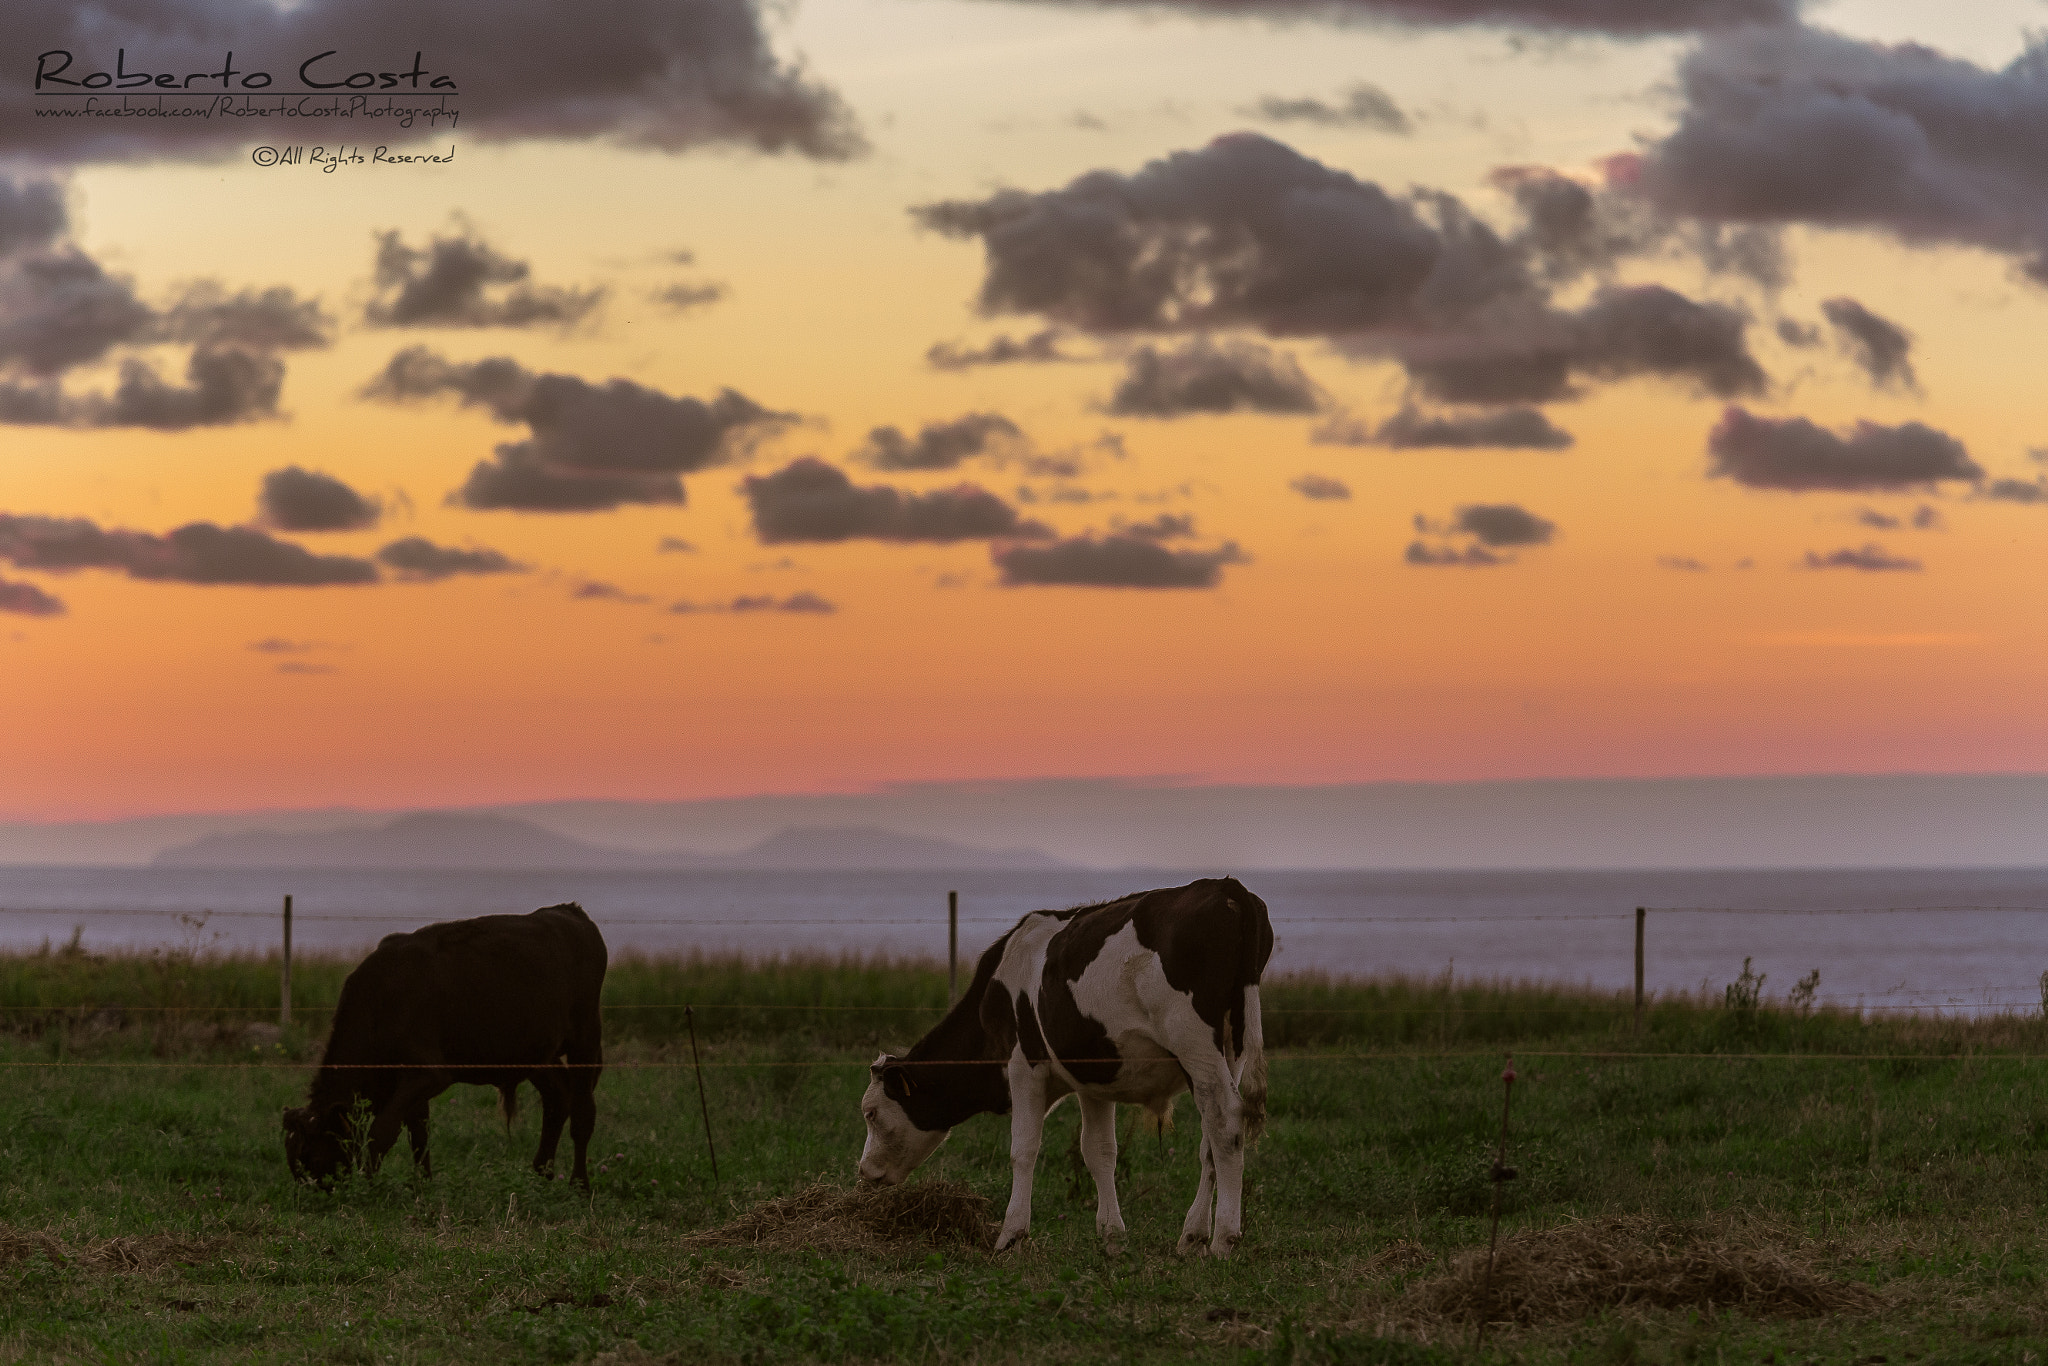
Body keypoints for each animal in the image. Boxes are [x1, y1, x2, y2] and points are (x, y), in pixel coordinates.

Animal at [286, 909, 606, 1187]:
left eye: (311, 1157)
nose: (318, 1192)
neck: (380, 1004)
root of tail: (569, 912)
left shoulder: (429, 1073)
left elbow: (383, 1131)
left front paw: (368, 1184)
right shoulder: (408, 1082)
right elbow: (419, 1134)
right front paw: (422, 1185)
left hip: (586, 1037)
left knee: (583, 1113)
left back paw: (579, 1184)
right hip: (538, 1054)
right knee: (557, 1098)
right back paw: (541, 1175)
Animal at [856, 880, 1269, 1253]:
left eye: (871, 1113)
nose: (863, 1172)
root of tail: (1226, 888)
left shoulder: (1023, 1065)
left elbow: (1023, 1148)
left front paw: (1010, 1235)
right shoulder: (1093, 1078)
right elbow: (1099, 1151)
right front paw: (1112, 1236)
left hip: (1194, 1043)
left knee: (1225, 1123)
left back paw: (1223, 1239)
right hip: (1230, 1049)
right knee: (1211, 1139)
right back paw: (1192, 1236)